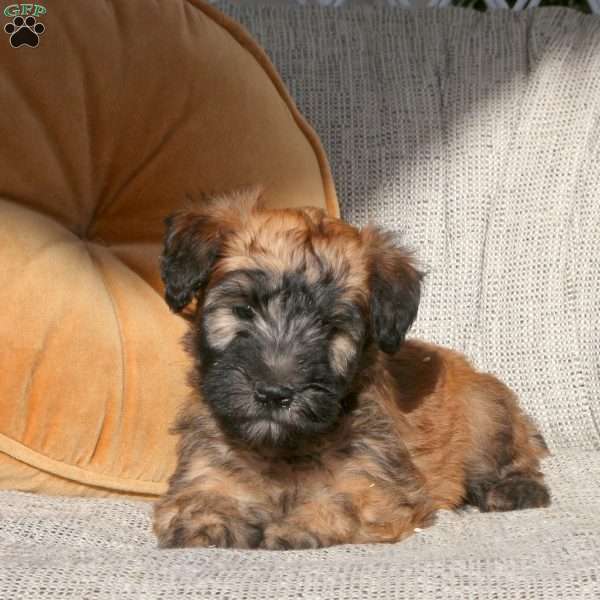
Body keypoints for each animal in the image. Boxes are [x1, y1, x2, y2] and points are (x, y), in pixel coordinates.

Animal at [152, 188, 552, 548]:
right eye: (244, 310)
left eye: (330, 327)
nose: (274, 394)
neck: (284, 448)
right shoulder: (205, 465)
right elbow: (200, 495)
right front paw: (207, 521)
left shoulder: (377, 484)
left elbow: (343, 499)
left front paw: (300, 524)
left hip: (485, 413)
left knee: (516, 459)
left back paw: (513, 489)